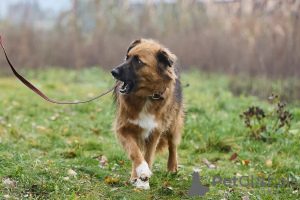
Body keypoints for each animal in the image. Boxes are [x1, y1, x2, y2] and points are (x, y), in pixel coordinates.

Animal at [111, 38, 184, 189]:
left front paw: (144, 181)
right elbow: (135, 153)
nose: (113, 72)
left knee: (173, 145)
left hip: (173, 122)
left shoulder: (154, 131)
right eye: (127, 57)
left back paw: (172, 167)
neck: (146, 96)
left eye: (138, 61)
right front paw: (142, 173)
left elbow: (148, 156)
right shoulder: (123, 129)